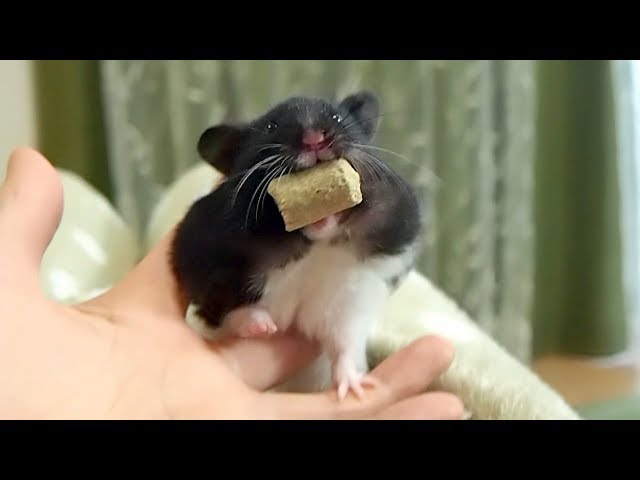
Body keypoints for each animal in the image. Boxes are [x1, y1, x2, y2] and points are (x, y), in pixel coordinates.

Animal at [169, 91, 424, 402]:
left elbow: (344, 344)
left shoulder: (351, 297)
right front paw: (263, 326)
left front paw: (353, 390)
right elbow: (231, 313)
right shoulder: (210, 274)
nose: (314, 138)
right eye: (271, 126)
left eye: (337, 117)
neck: (316, 245)